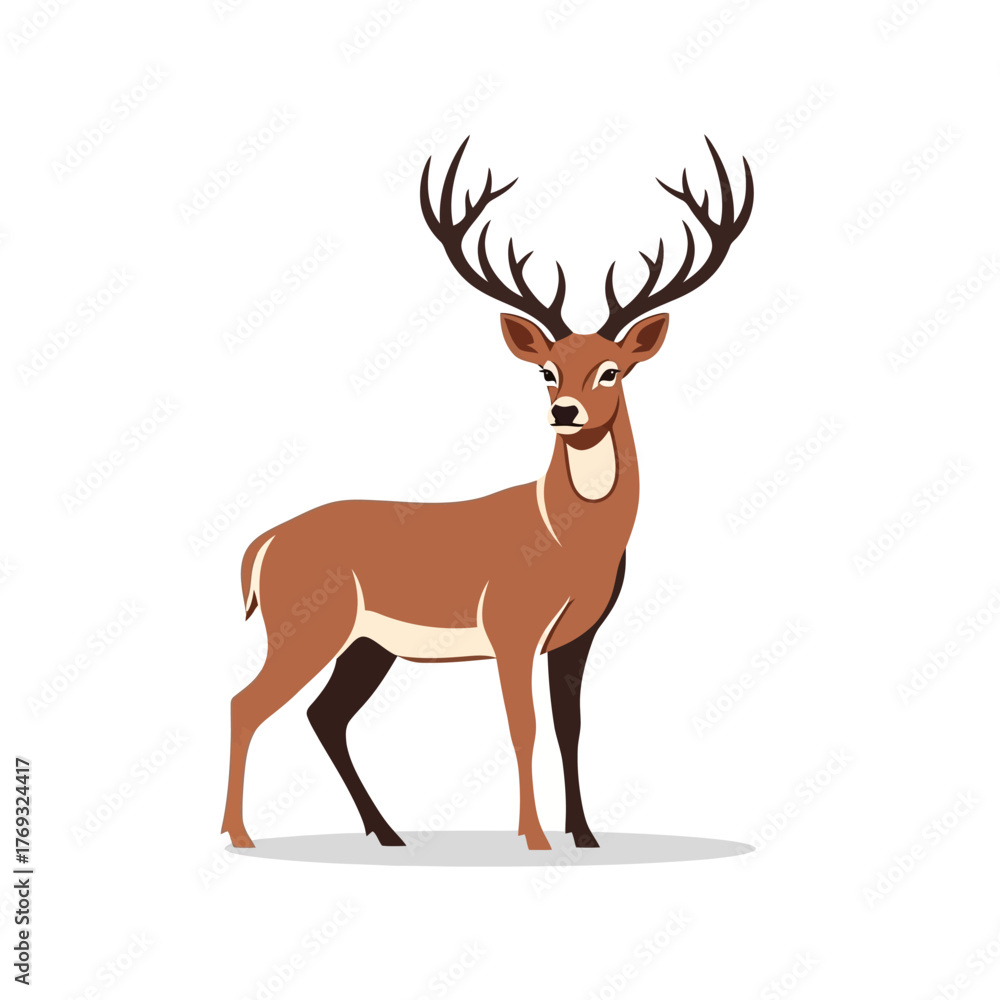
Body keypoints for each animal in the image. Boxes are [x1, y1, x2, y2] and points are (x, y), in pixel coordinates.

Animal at [221, 136, 753, 851]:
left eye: (611, 369)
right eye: (547, 370)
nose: (564, 412)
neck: (565, 541)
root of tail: (265, 542)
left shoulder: (576, 635)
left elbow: (568, 729)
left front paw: (584, 836)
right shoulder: (510, 625)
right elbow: (521, 727)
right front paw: (534, 837)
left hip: (366, 644)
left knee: (324, 714)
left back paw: (387, 833)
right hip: (306, 625)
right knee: (247, 703)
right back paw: (241, 834)